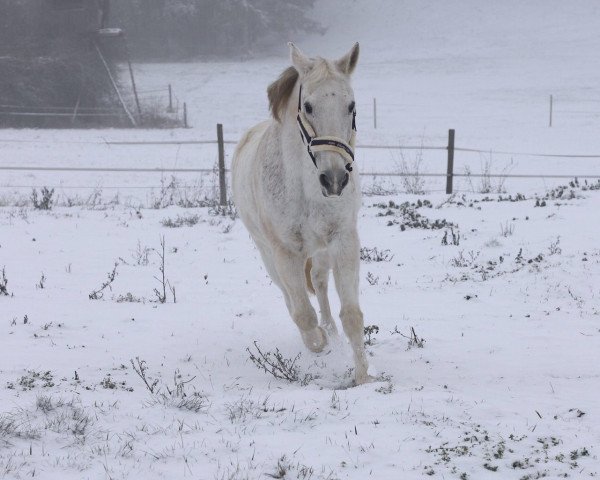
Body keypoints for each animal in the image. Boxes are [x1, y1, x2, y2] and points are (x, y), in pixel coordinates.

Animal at [231, 43, 368, 384]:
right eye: (307, 106)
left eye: (351, 105)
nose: (335, 180)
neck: (305, 186)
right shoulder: (286, 252)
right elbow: (304, 315)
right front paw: (318, 345)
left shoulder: (343, 240)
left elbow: (351, 315)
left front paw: (363, 377)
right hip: (268, 254)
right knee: (290, 299)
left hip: (320, 251)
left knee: (319, 283)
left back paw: (330, 330)